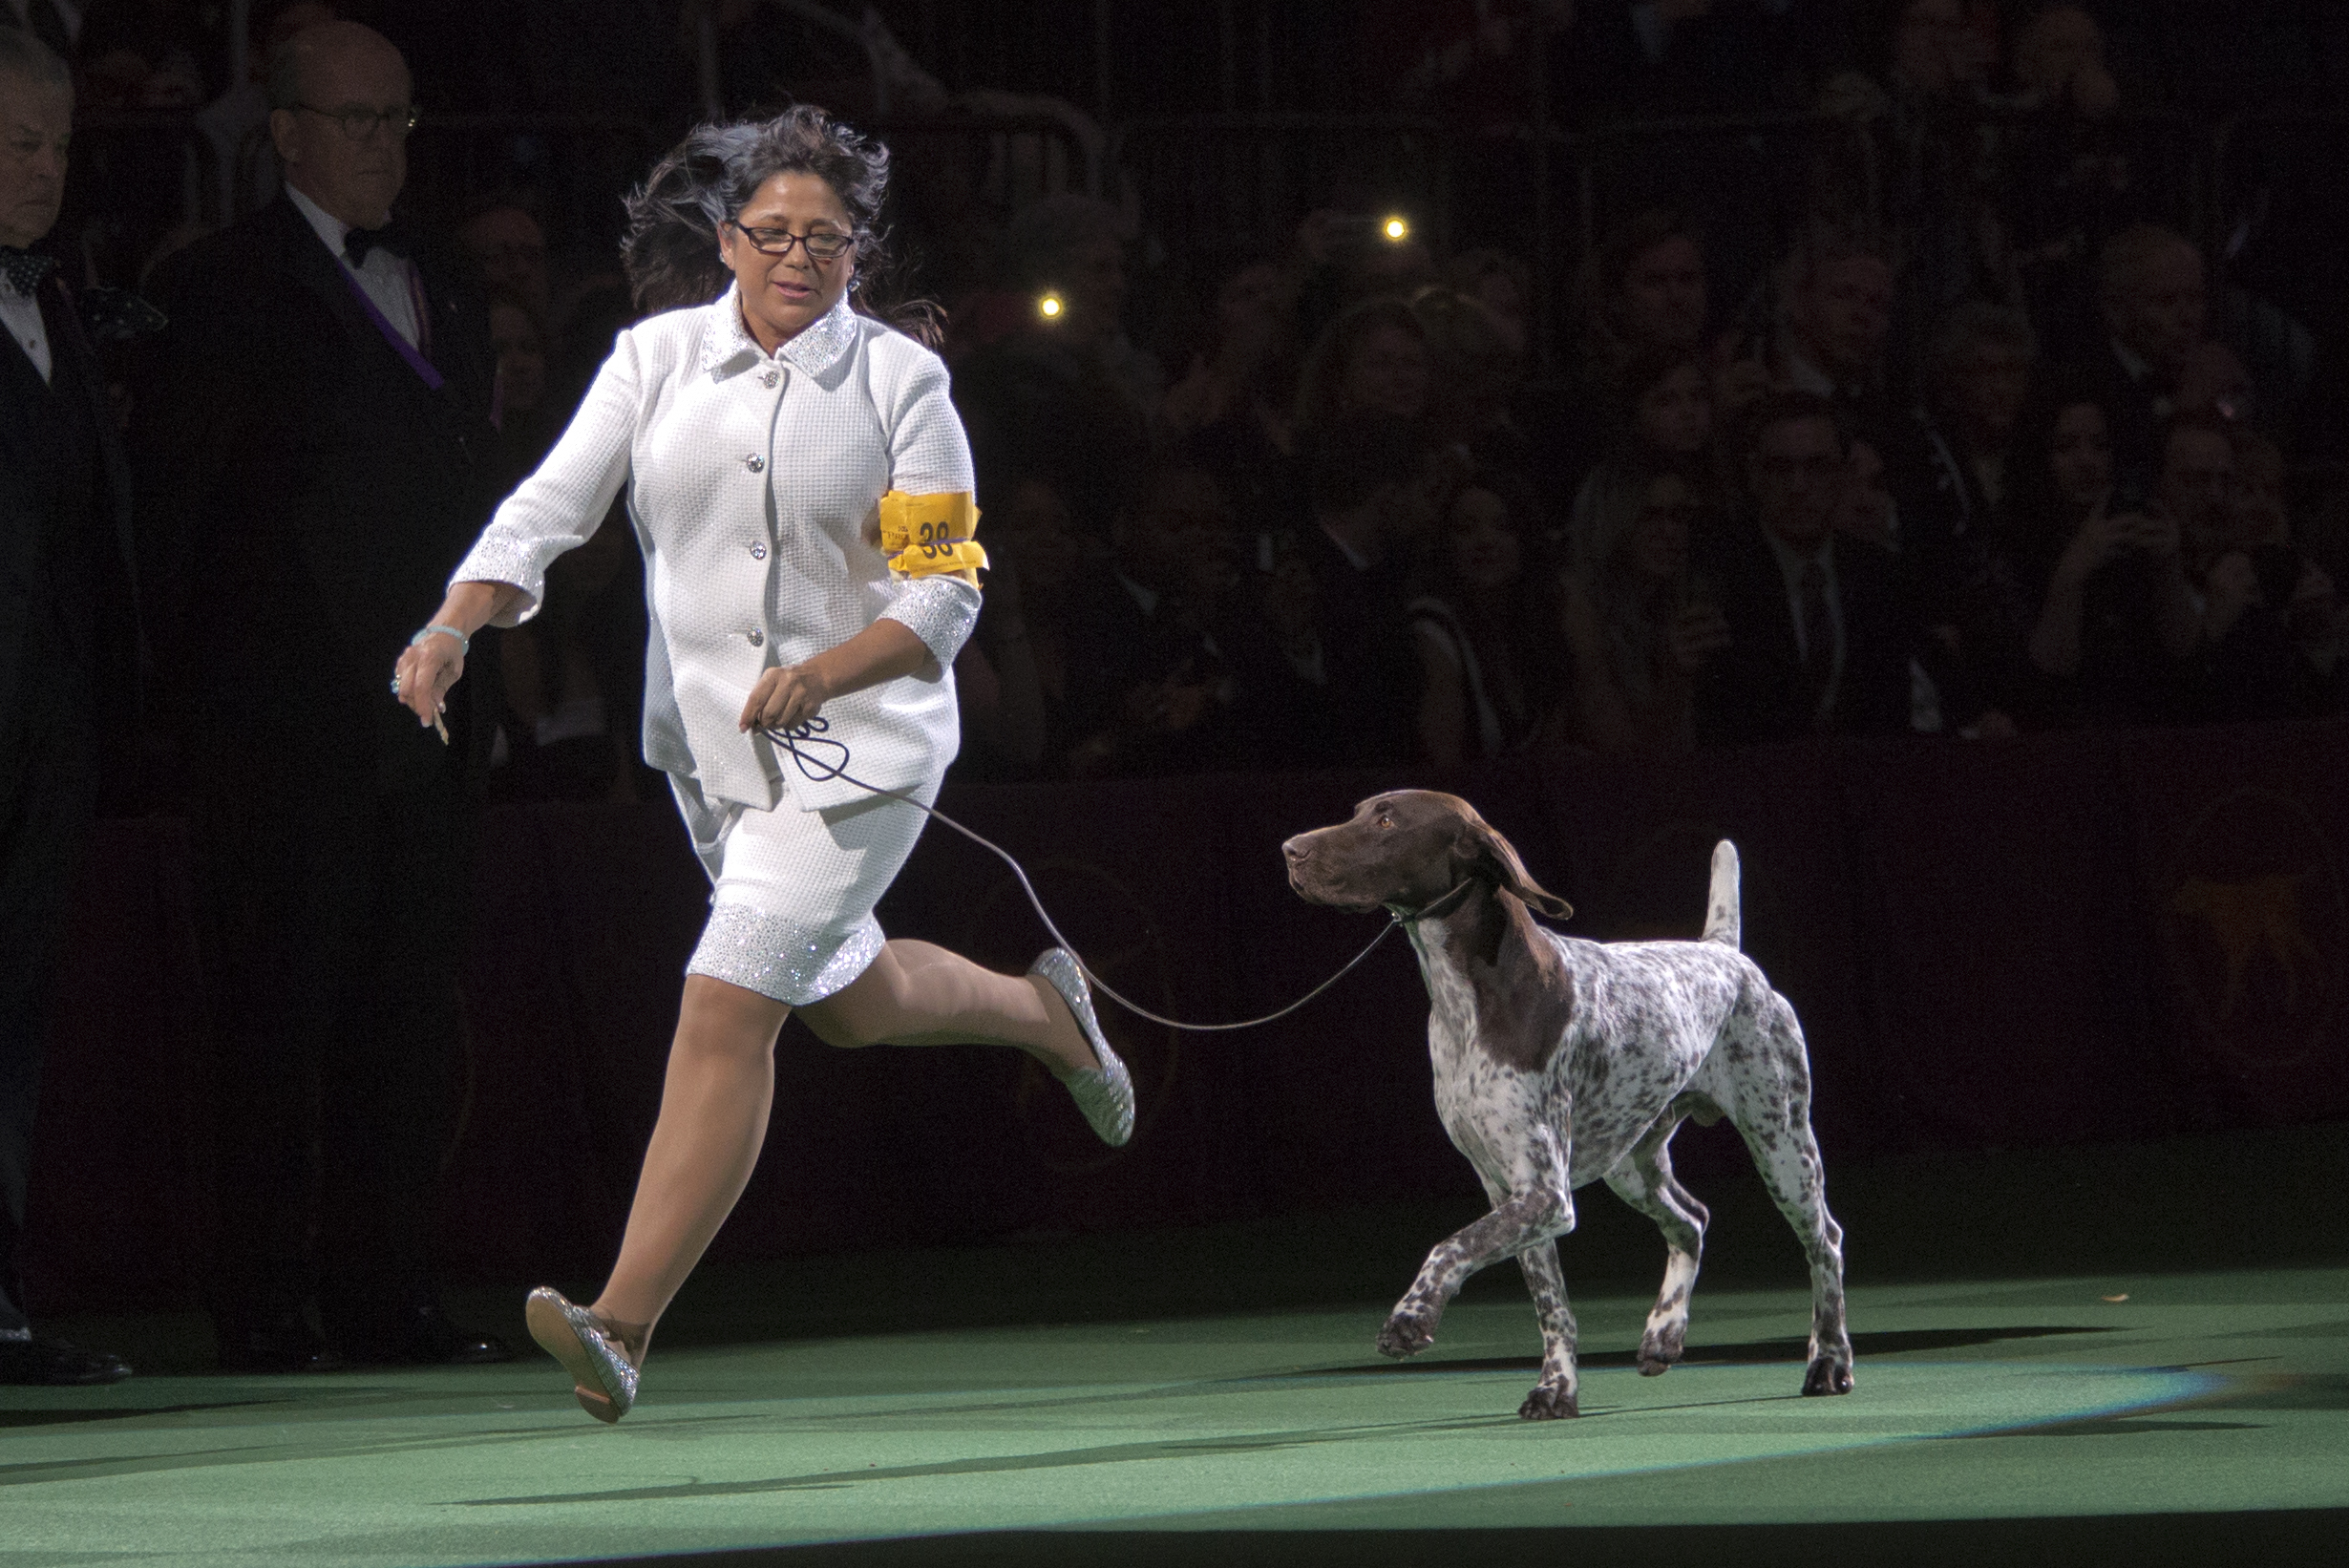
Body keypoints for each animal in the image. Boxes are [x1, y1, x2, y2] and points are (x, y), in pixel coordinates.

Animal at [1287, 790, 1851, 1419]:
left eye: (1387, 821)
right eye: (1358, 813)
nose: (1290, 850)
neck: (1468, 1003)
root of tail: (1724, 953)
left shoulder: (1543, 1195)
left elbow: (1449, 1247)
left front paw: (1410, 1317)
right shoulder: (1509, 1192)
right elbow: (1551, 1306)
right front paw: (1557, 1387)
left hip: (1783, 1146)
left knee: (1825, 1243)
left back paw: (1828, 1361)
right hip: (1631, 1162)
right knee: (1691, 1220)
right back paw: (1664, 1333)